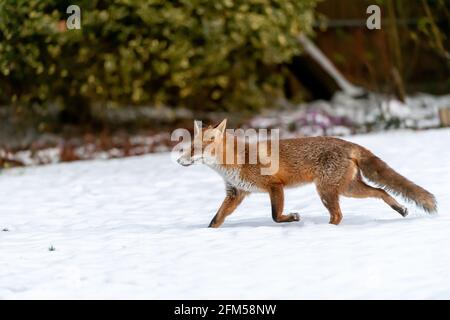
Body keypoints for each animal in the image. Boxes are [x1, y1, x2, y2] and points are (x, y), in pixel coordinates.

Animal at [178, 119, 438, 228]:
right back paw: (400, 209)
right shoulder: (236, 193)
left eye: (194, 148)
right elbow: (215, 220)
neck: (237, 161)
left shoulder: (275, 186)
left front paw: (293, 218)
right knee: (381, 191)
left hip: (326, 191)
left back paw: (326, 231)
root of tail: (348, 143)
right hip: (348, 188)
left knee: (339, 215)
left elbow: (275, 216)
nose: (179, 160)